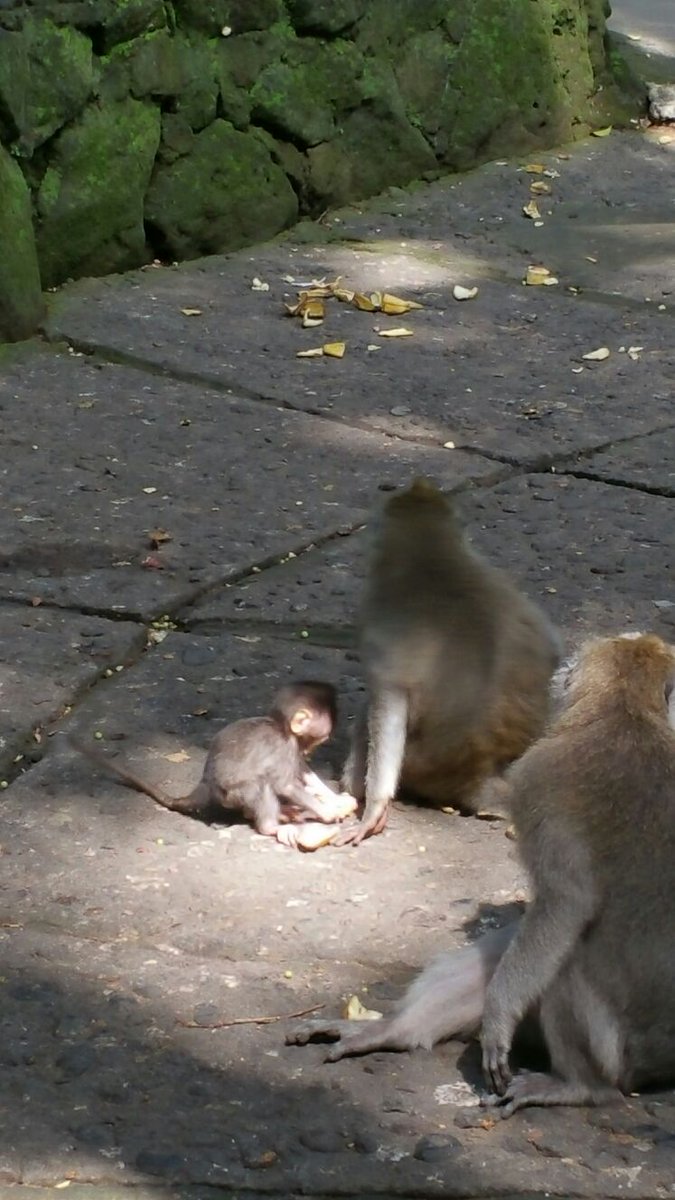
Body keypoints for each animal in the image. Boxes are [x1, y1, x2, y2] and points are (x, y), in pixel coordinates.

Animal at [71, 680, 357, 848]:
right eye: (320, 739)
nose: (311, 749)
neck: (280, 726)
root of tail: (205, 784)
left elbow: (302, 772)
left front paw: (333, 799)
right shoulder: (282, 745)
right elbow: (285, 783)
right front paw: (326, 811)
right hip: (231, 794)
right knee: (259, 785)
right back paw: (272, 826)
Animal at [288, 633, 675, 1115]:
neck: (629, 713)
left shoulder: (537, 778)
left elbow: (565, 904)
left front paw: (500, 1018)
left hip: (623, 1056)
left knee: (563, 963)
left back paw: (579, 1086)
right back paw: (388, 1031)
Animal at [337, 477, 561, 844]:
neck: (431, 555)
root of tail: (477, 777)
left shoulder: (376, 615)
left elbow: (388, 709)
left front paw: (374, 809)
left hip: (414, 766)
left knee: (366, 725)